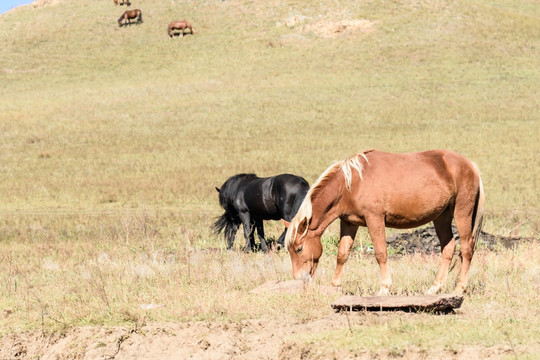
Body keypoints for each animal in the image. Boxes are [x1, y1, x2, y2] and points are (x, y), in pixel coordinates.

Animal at [282, 149, 486, 296]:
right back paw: (435, 287)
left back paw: (459, 288)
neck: (352, 183)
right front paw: (335, 286)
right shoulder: (348, 223)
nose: (299, 279)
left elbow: (380, 253)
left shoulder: (375, 219)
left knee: (466, 249)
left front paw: (384, 288)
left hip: (462, 212)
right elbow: (342, 254)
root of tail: (470, 165)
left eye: (299, 249)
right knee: (448, 248)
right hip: (441, 217)